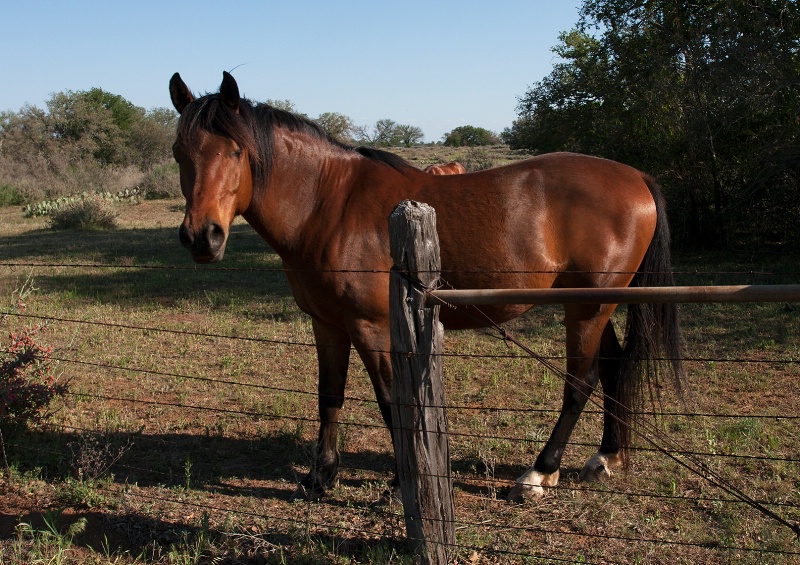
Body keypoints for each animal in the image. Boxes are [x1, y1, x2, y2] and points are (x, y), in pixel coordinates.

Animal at [169, 71, 680, 502]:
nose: (201, 237)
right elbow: (329, 395)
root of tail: (636, 177)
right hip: (592, 304)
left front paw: (401, 485)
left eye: (236, 151)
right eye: (179, 152)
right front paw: (320, 476)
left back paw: (538, 473)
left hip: (589, 306)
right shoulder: (327, 324)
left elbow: (391, 403)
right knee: (612, 367)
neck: (328, 204)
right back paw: (603, 458)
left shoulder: (371, 327)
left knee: (581, 380)